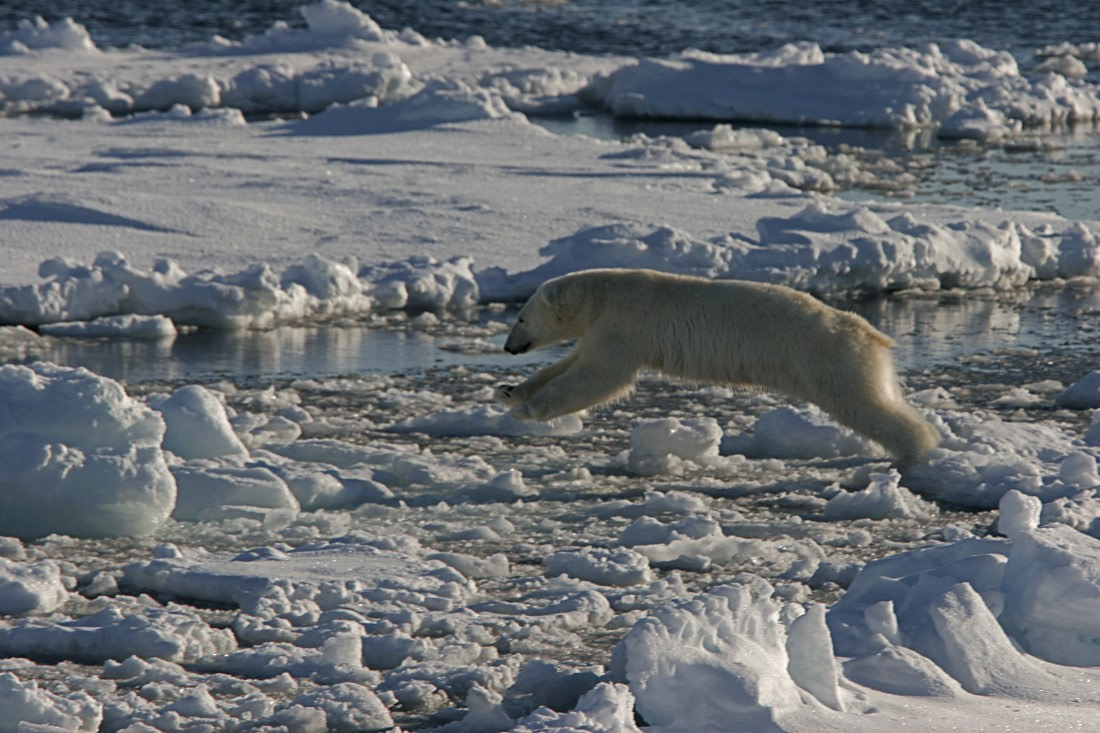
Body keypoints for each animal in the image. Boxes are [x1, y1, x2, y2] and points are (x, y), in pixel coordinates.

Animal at [496, 268, 940, 468]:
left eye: (520, 317)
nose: (508, 347)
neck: (607, 293)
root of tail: (866, 329)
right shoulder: (602, 328)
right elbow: (572, 363)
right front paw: (510, 392)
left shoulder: (625, 325)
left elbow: (599, 377)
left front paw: (527, 410)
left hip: (824, 356)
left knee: (861, 403)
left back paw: (915, 450)